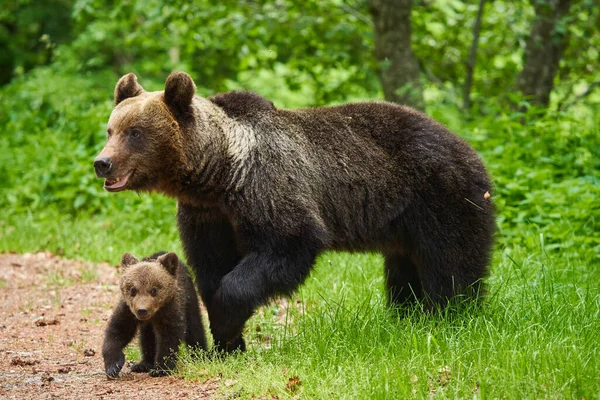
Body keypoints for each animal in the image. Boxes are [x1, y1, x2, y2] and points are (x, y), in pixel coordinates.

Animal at [94, 72, 494, 354]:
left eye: (135, 132)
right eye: (111, 129)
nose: (102, 163)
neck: (218, 173)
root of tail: (471, 148)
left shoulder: (267, 188)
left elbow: (286, 244)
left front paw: (225, 323)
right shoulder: (207, 215)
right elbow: (210, 266)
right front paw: (228, 344)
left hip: (441, 197)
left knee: (451, 263)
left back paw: (450, 317)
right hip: (402, 224)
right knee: (403, 271)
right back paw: (406, 316)